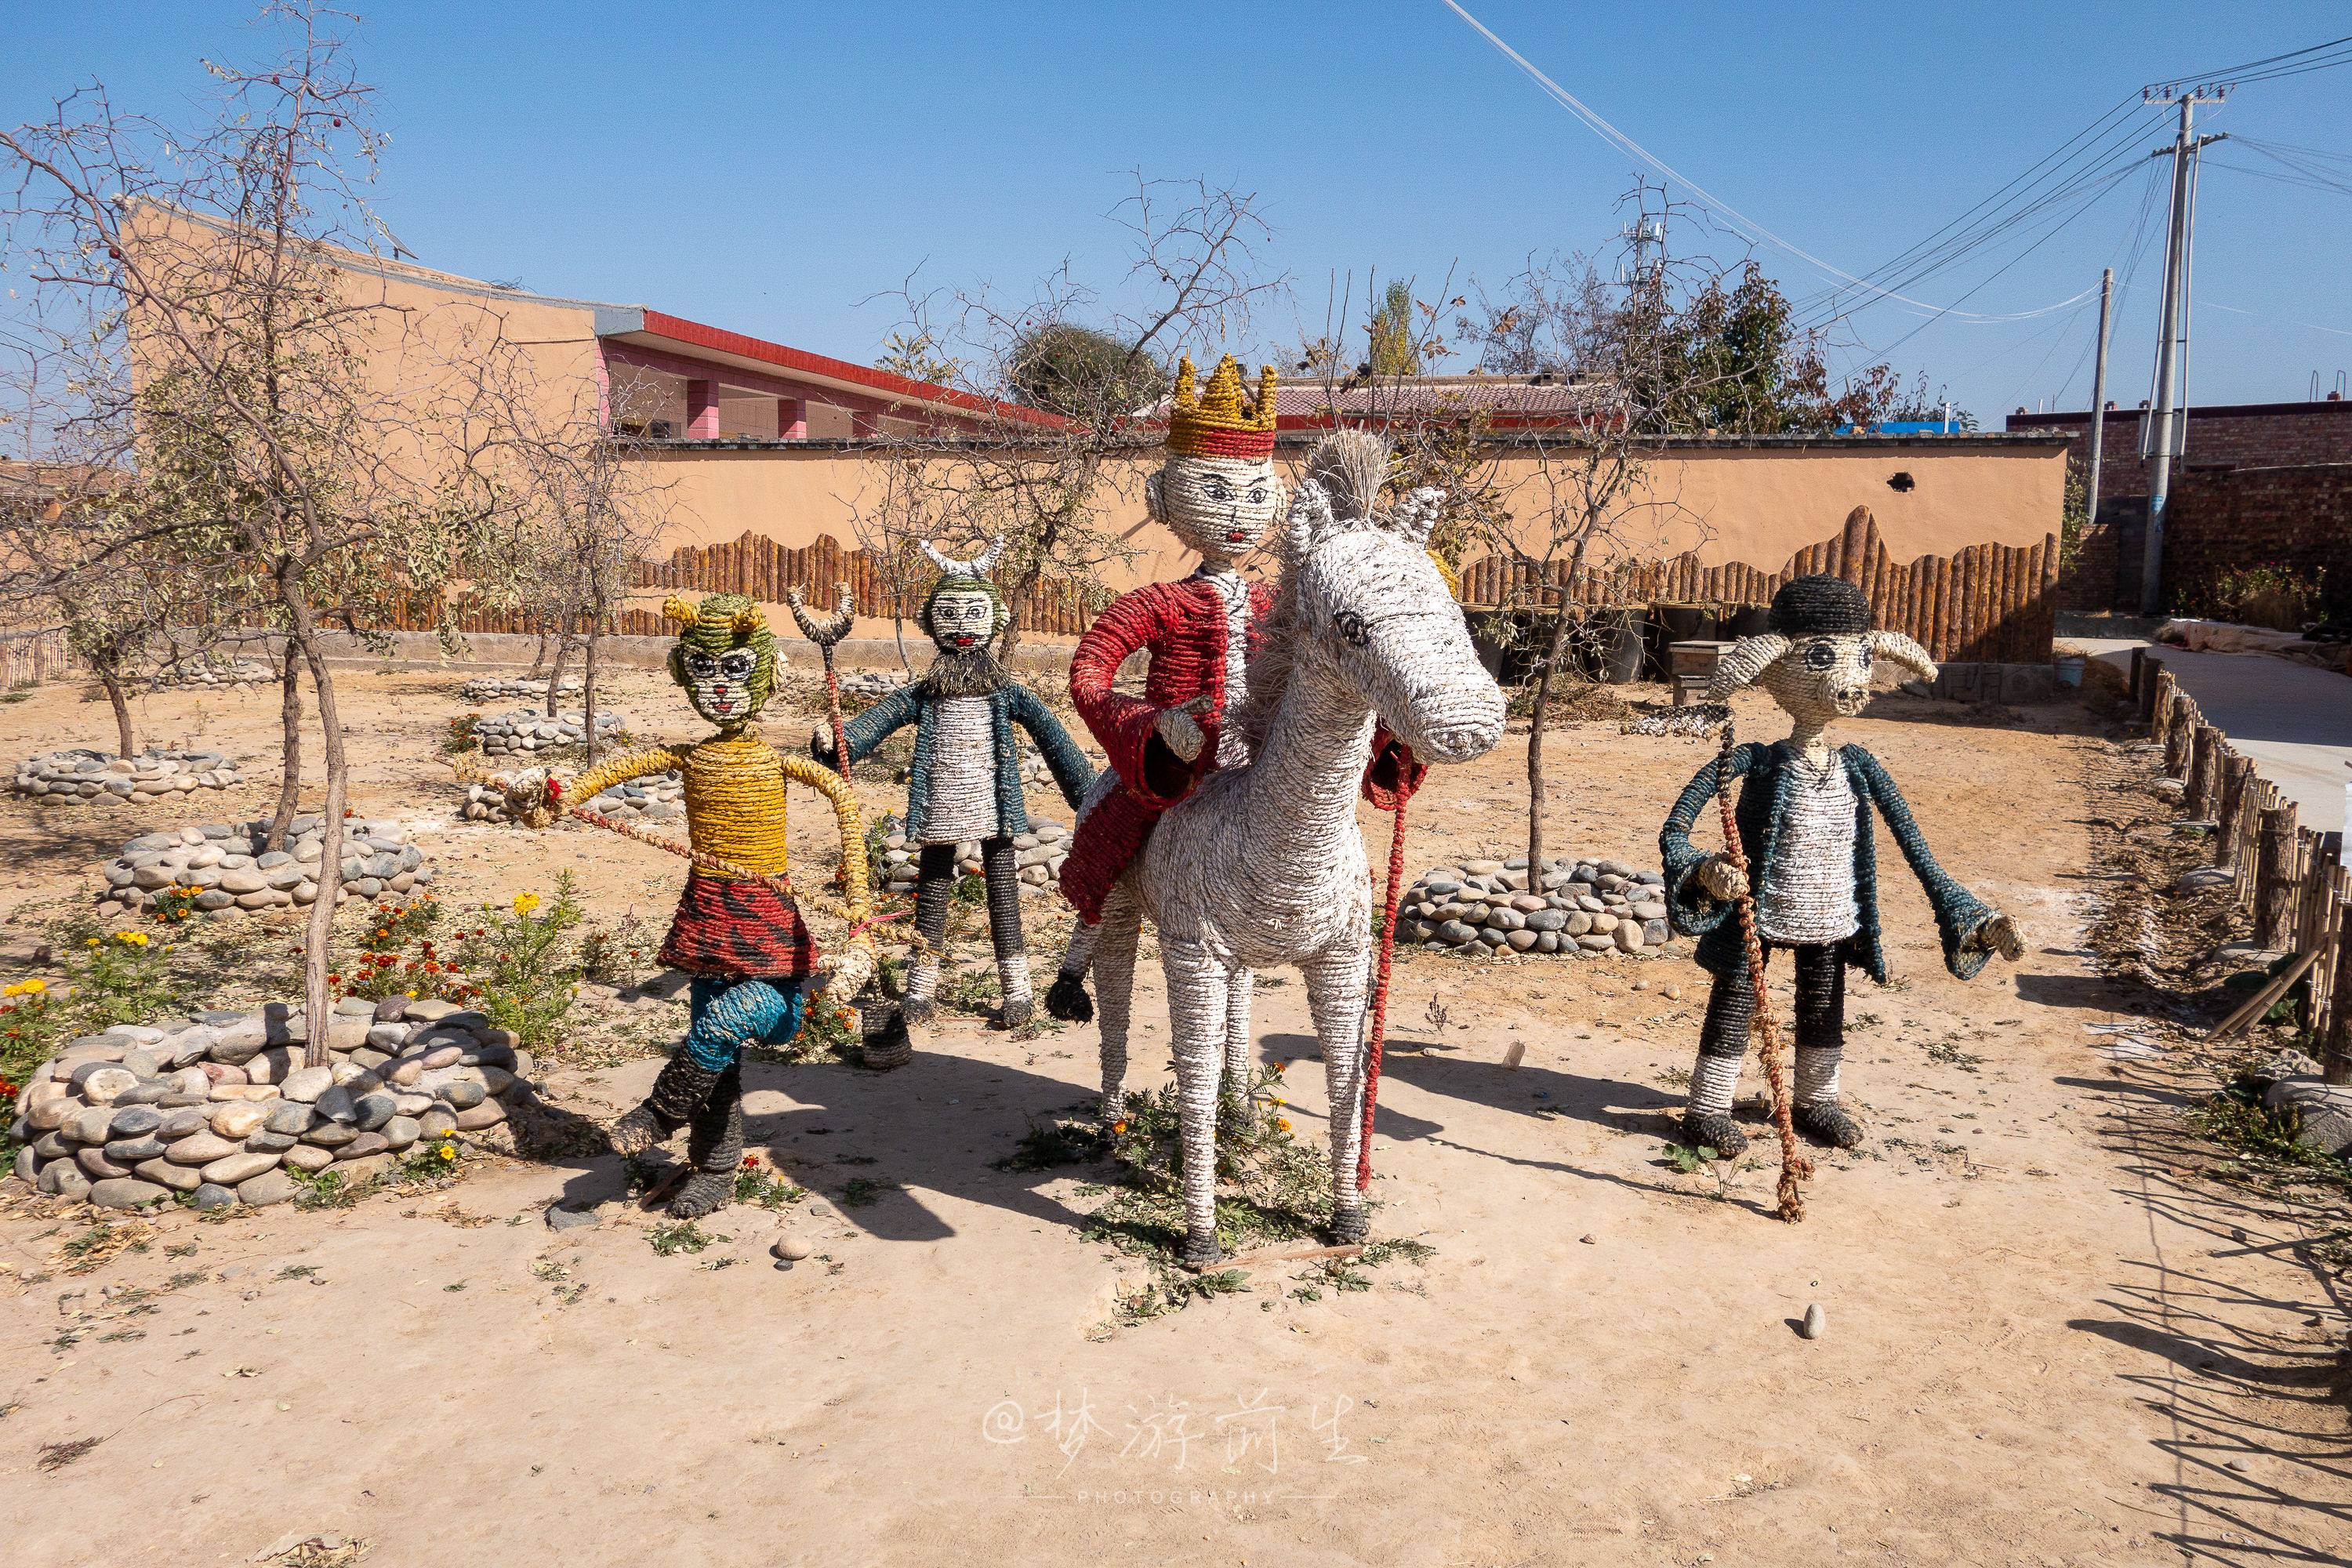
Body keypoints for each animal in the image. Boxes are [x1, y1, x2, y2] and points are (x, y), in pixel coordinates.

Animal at [1087, 453, 1496, 1260]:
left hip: (1239, 957)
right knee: (1113, 1005)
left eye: (1456, 611)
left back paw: (1245, 1118)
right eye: (1350, 625)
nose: (1471, 723)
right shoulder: (1192, 954)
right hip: (1121, 908)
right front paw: (1201, 1239)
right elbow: (1192, 1080)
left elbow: (1345, 1077)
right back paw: (1112, 1129)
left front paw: (1348, 1216)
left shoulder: (1342, 956)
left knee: (1238, 1018)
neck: (1277, 838)